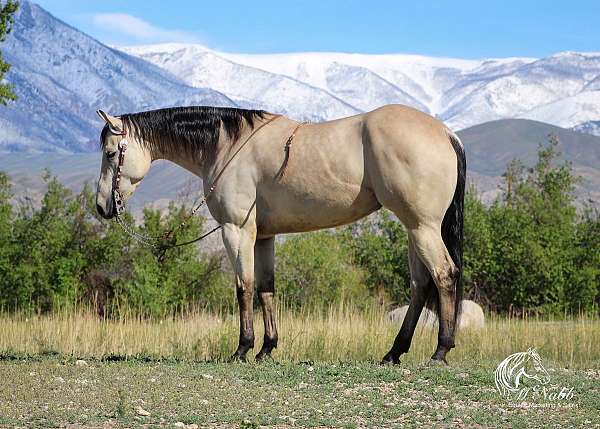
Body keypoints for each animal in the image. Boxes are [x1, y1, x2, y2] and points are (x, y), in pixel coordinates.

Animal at [96, 104, 466, 364]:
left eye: (111, 153)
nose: (102, 206)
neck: (227, 147)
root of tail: (447, 133)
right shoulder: (263, 237)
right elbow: (266, 290)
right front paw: (266, 348)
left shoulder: (237, 232)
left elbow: (243, 288)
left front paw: (242, 348)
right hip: (414, 229)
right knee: (420, 285)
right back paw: (393, 353)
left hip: (422, 227)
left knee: (444, 275)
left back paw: (440, 351)